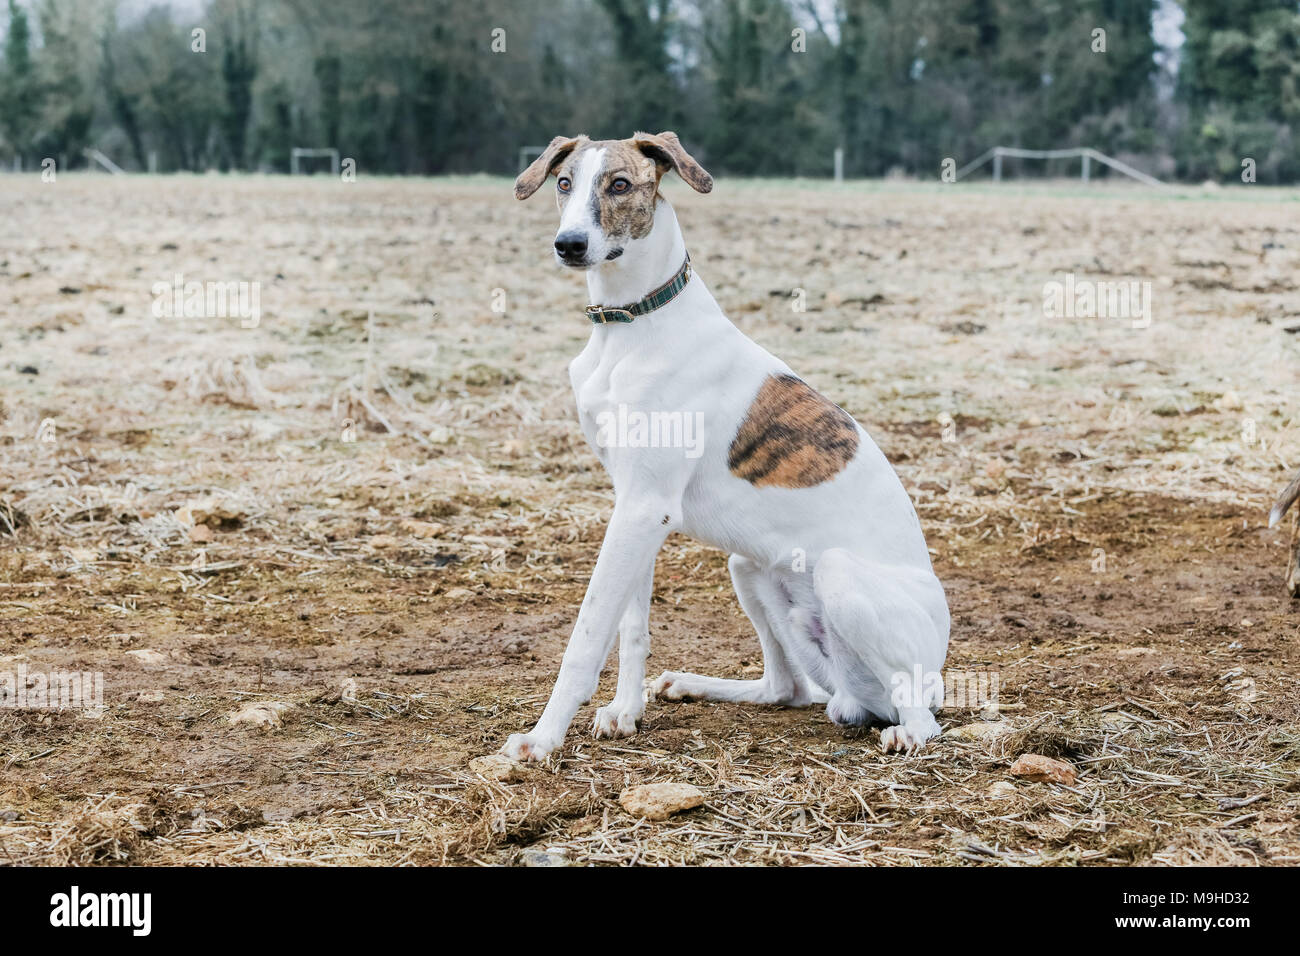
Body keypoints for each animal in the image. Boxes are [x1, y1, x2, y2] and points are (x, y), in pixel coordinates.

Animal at [501, 132, 951, 764]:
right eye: (564, 183)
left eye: (620, 184)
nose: (569, 245)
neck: (632, 322)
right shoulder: (636, 504)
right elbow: (631, 626)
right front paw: (625, 712)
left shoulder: (644, 506)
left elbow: (588, 634)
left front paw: (543, 738)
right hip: (750, 569)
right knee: (787, 688)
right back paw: (695, 684)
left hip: (845, 583)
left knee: (918, 712)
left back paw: (906, 731)